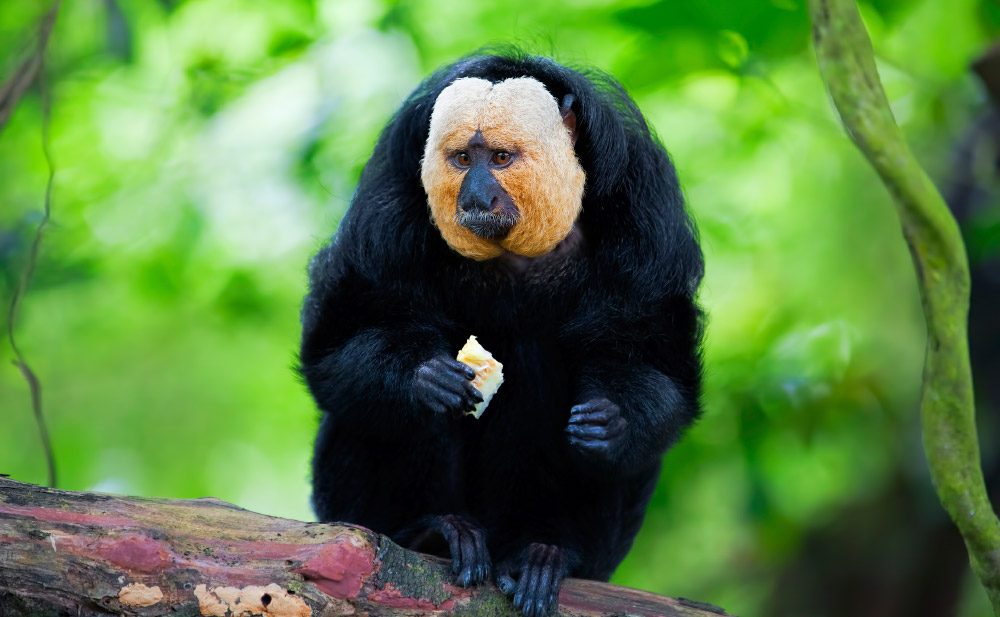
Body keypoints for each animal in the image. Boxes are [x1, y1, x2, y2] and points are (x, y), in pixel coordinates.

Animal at [300, 51, 703, 617]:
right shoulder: (389, 196)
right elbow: (337, 344)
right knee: (371, 416)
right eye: (462, 160)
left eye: (500, 158)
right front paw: (424, 379)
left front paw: (612, 422)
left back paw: (546, 553)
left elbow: (649, 356)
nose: (475, 196)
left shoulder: (647, 211)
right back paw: (433, 532)